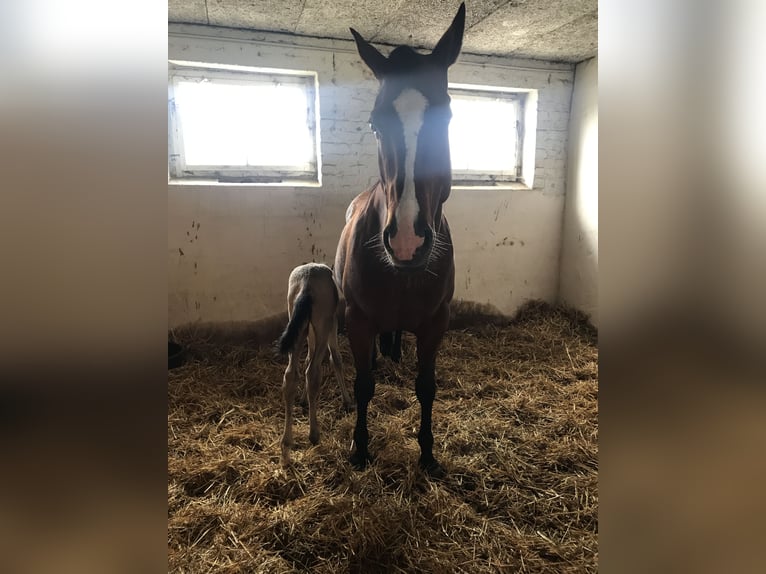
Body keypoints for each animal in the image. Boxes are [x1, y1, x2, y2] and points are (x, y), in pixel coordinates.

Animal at [278, 262, 353, 466]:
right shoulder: (332, 323)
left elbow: (306, 361)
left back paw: (287, 441)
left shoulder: (309, 329)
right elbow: (335, 359)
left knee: (290, 375)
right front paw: (347, 401)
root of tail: (306, 283)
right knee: (313, 372)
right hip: (323, 325)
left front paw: (303, 399)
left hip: (296, 325)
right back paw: (313, 434)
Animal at [334, 3, 465, 477]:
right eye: (375, 123)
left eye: (447, 116)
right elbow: (363, 385)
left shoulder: (436, 323)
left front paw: (427, 454)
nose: (407, 241)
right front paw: (359, 449)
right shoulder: (357, 321)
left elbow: (426, 386)